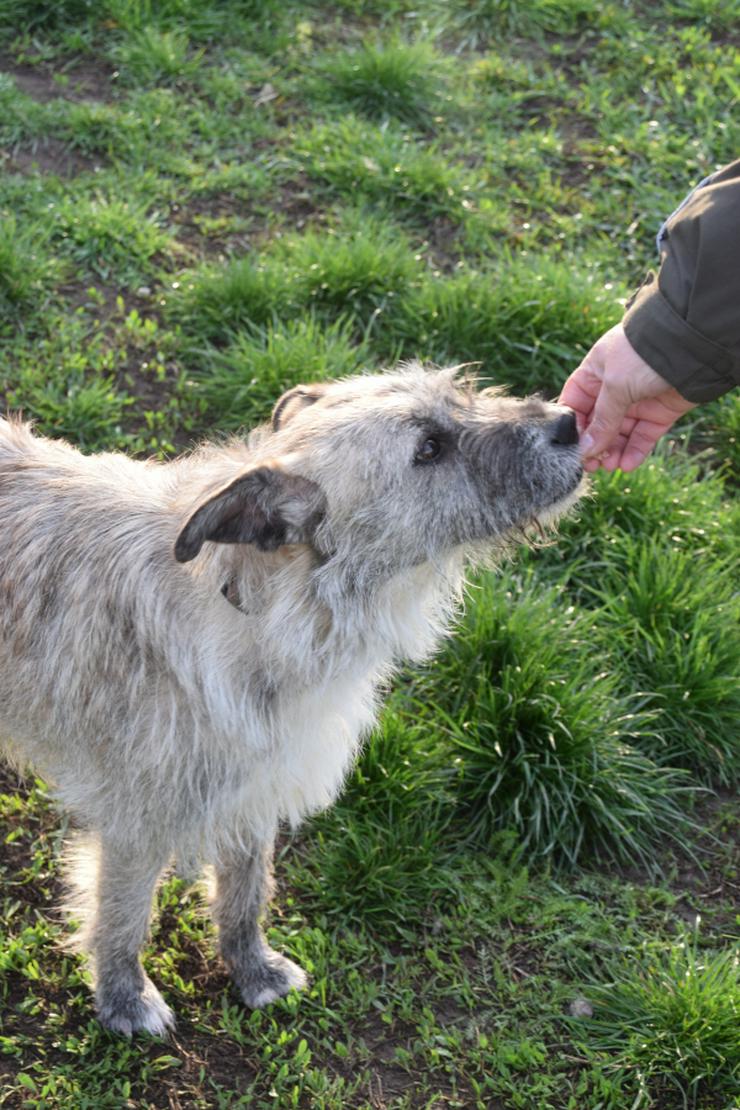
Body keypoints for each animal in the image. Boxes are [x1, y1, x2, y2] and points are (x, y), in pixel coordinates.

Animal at [0, 361, 585, 1030]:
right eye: (430, 449)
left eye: (461, 394)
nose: (569, 423)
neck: (270, 612)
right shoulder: (139, 816)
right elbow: (122, 913)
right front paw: (124, 997)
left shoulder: (257, 784)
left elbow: (246, 891)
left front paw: (251, 969)